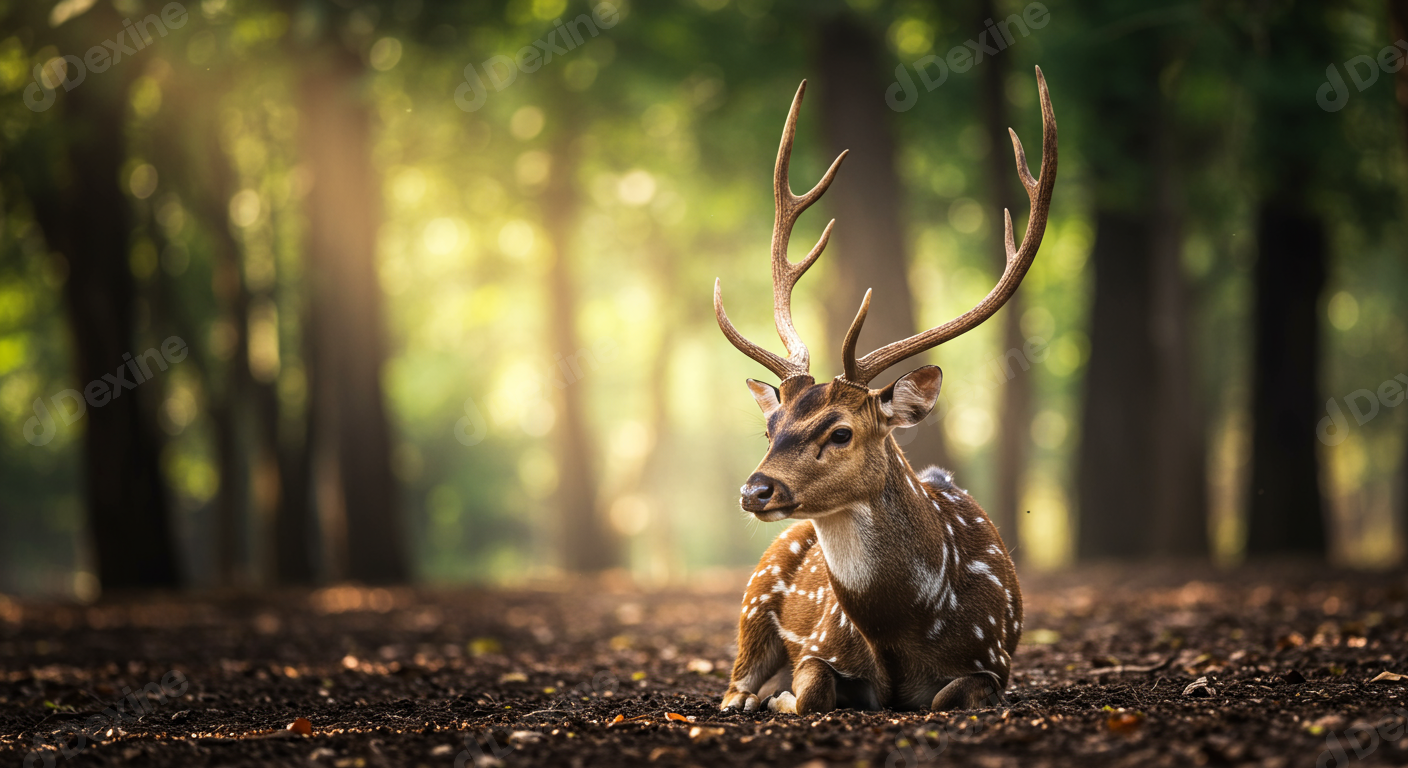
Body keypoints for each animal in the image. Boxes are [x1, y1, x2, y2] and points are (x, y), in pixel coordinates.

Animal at [714, 68, 1056, 715]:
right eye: (770, 427)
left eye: (841, 432)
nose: (755, 489)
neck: (902, 632)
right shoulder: (820, 643)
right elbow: (814, 687)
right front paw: (782, 697)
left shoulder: (993, 660)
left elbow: (947, 696)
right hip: (754, 594)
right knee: (733, 681)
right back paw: (749, 696)